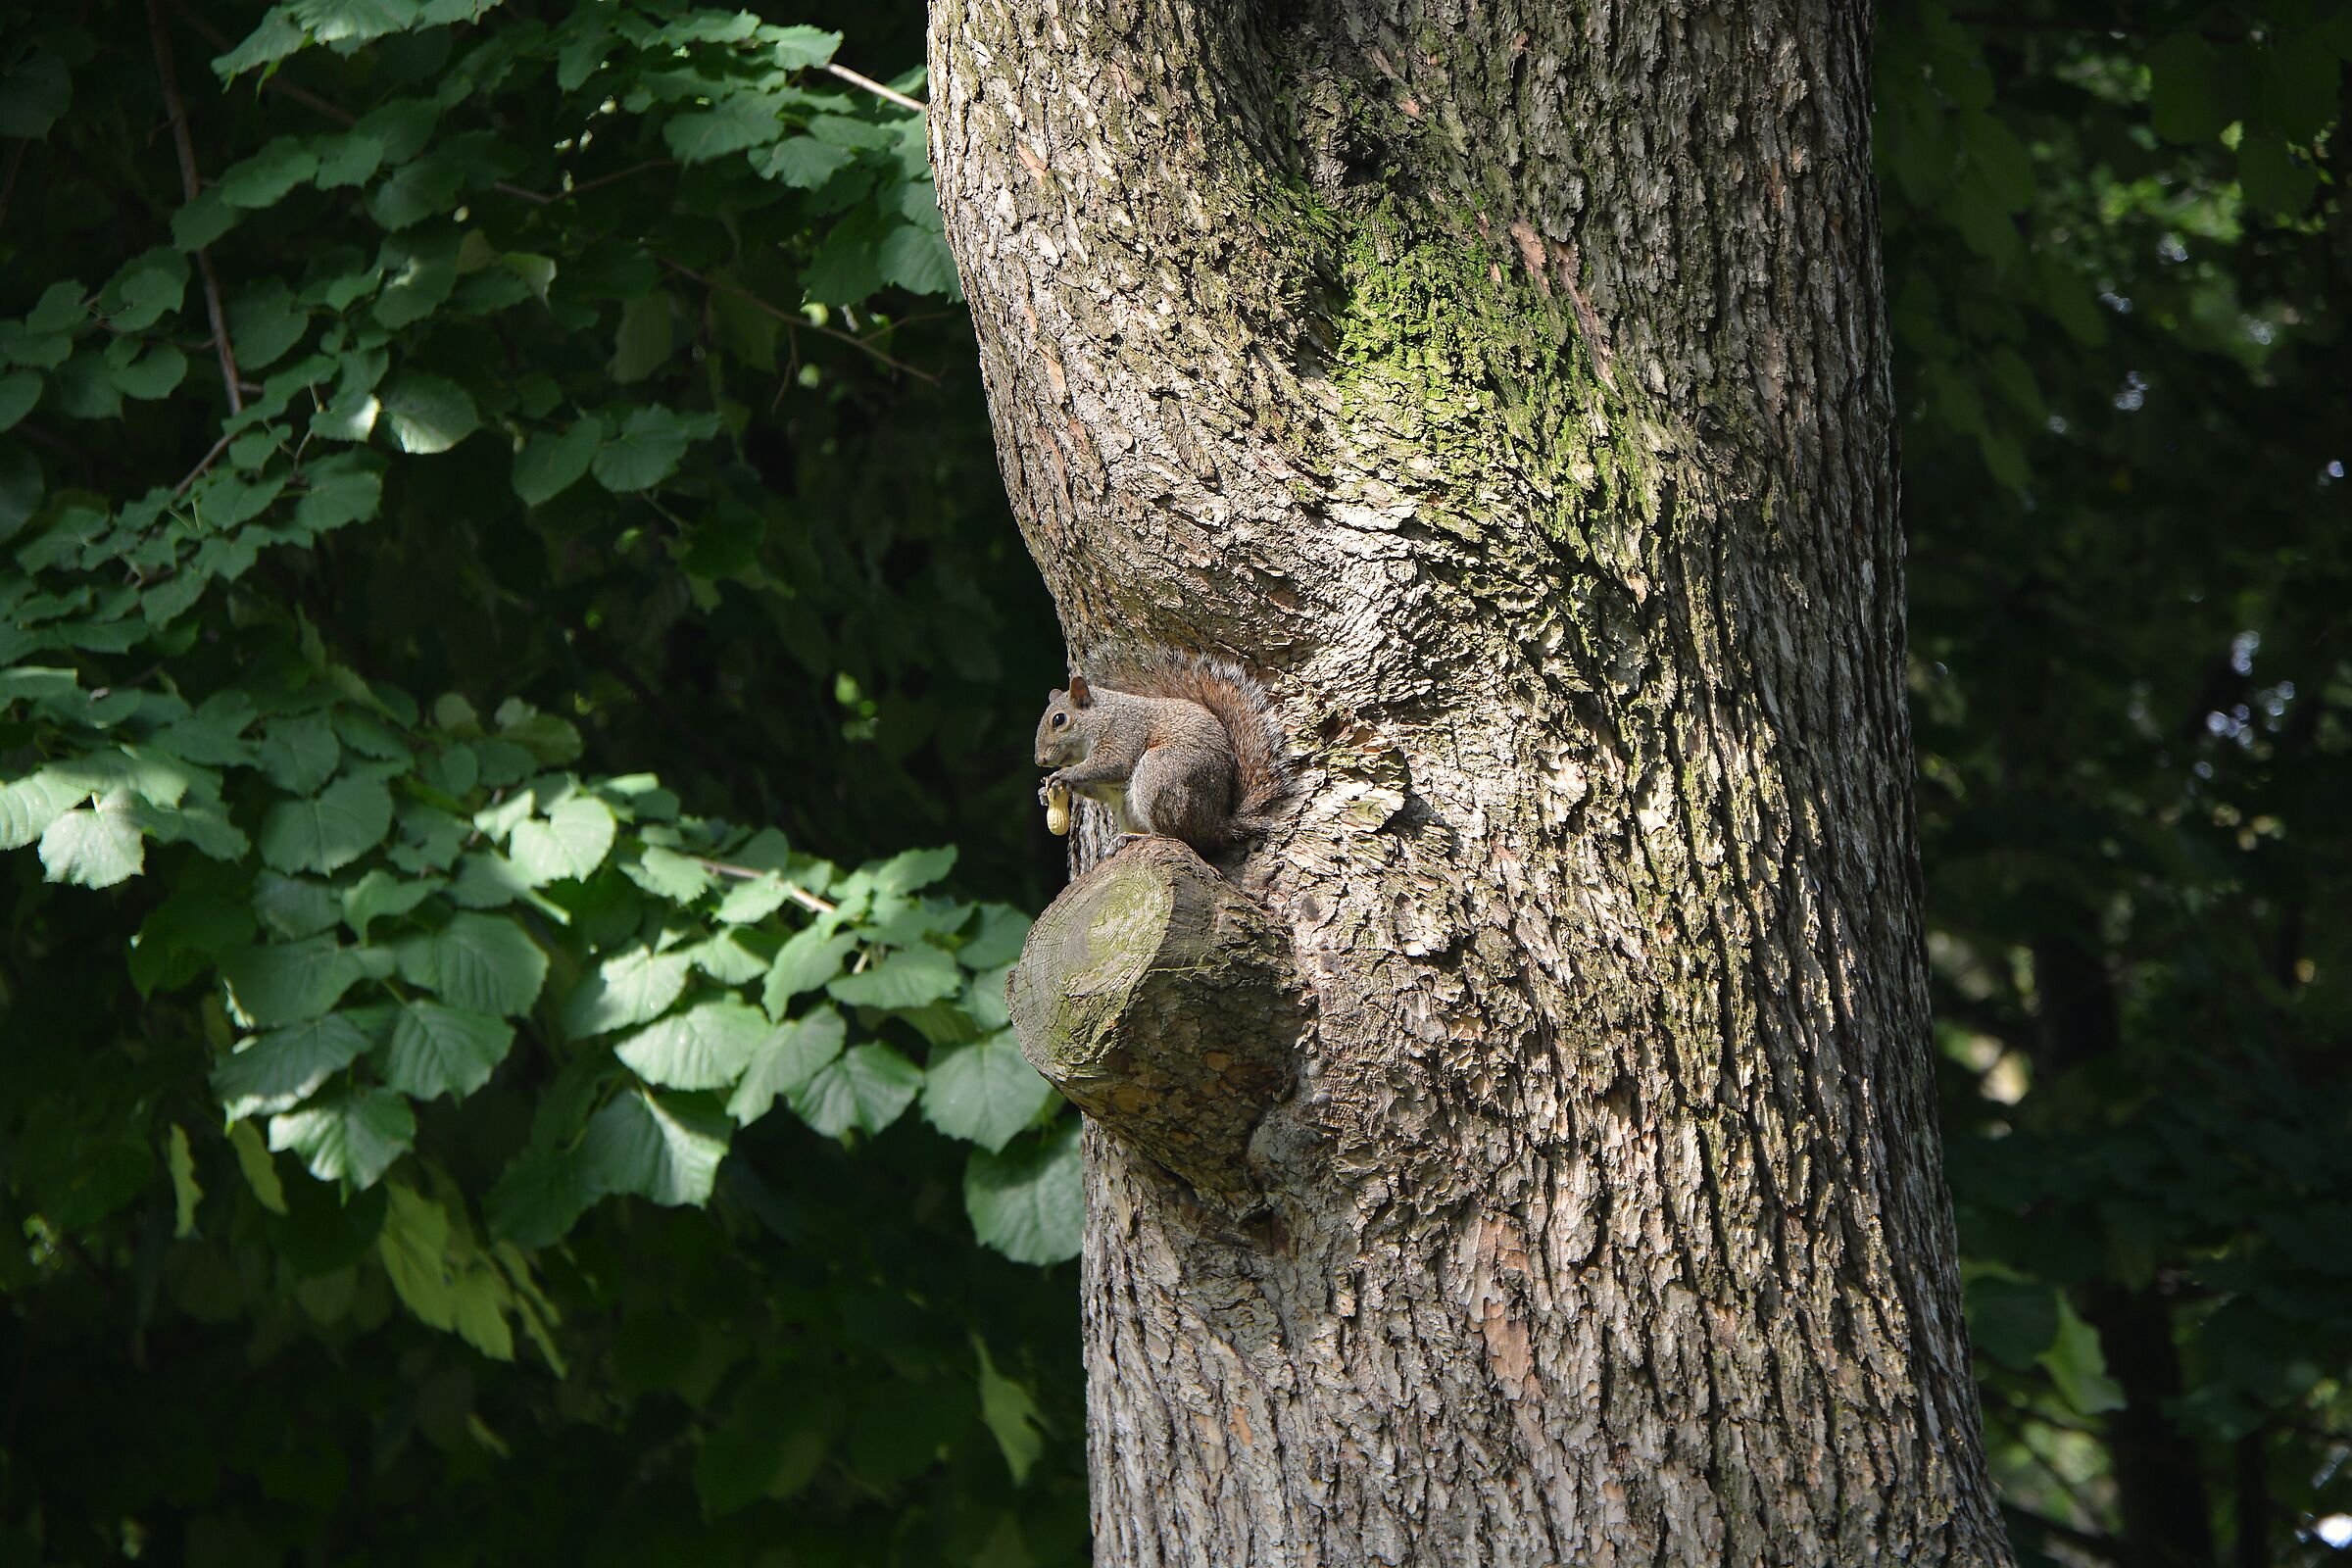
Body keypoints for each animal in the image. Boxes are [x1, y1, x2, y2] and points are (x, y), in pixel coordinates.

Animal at [1033, 647, 1287, 855]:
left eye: (1059, 719)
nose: (1040, 760)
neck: (1102, 714)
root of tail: (1217, 824)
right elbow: (1102, 790)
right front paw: (1047, 791)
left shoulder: (1123, 733)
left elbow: (1113, 765)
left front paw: (1063, 775)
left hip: (1160, 773)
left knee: (1172, 836)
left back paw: (1132, 838)